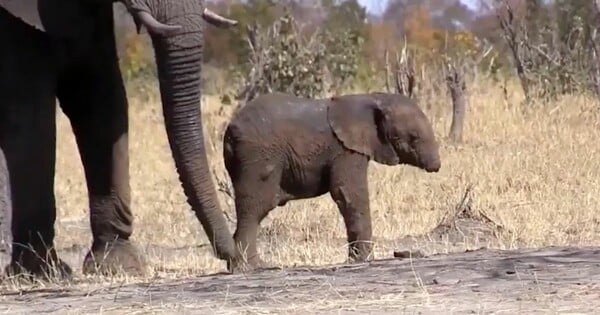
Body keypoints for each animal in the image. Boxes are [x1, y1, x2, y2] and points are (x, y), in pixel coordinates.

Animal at [223, 91, 438, 272]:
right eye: (414, 138)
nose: (436, 166)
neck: (372, 97)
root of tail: (230, 130)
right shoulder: (345, 150)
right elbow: (348, 193)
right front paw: (364, 260)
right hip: (258, 158)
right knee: (256, 207)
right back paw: (252, 267)